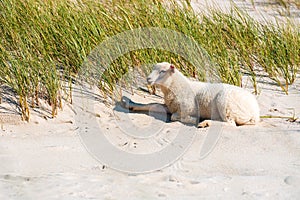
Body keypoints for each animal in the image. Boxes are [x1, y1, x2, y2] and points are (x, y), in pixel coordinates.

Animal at [120, 61, 258, 127]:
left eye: (162, 71)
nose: (148, 79)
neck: (175, 87)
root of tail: (256, 112)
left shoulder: (186, 108)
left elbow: (174, 117)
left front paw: (194, 119)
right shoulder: (170, 106)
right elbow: (151, 104)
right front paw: (130, 104)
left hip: (225, 103)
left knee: (230, 124)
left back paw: (205, 123)